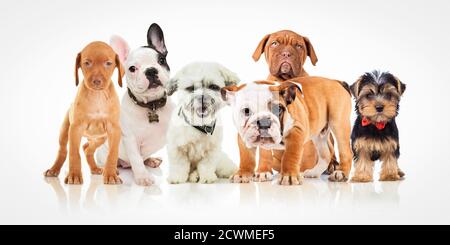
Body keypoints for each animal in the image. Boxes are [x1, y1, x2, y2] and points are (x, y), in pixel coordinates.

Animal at [223, 77, 354, 185]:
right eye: (246, 111)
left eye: (278, 108)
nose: (264, 121)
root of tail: (336, 81)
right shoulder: (243, 136)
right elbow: (247, 157)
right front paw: (243, 174)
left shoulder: (296, 132)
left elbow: (290, 155)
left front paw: (289, 176)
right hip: (319, 134)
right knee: (325, 153)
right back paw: (314, 172)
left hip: (338, 123)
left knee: (345, 151)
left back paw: (341, 173)